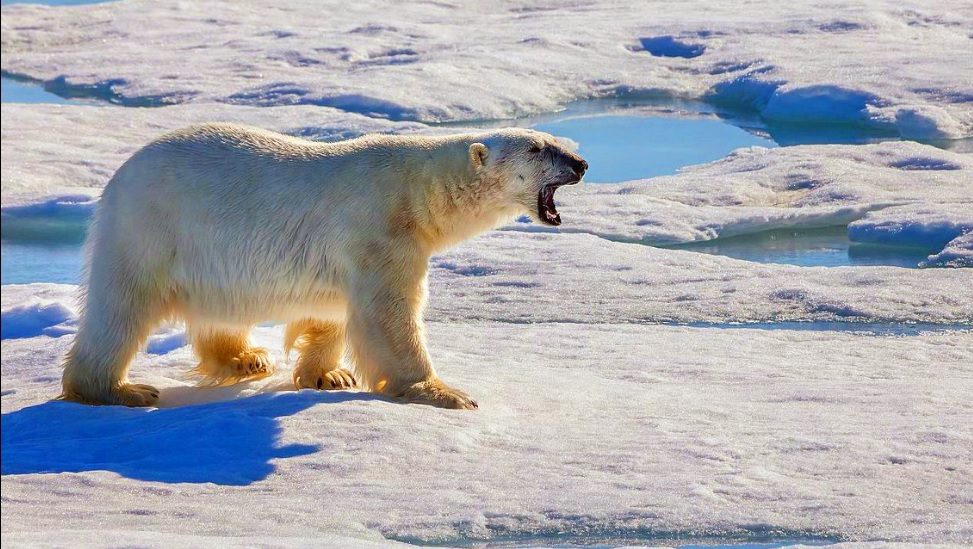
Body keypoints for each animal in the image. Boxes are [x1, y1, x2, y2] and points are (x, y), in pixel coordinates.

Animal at [61, 124, 587, 409]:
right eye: (537, 148)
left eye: (556, 140)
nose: (581, 163)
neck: (417, 192)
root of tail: (119, 176)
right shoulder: (380, 229)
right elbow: (388, 314)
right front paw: (444, 392)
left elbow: (334, 308)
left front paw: (328, 375)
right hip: (151, 230)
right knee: (121, 309)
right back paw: (120, 389)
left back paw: (245, 358)